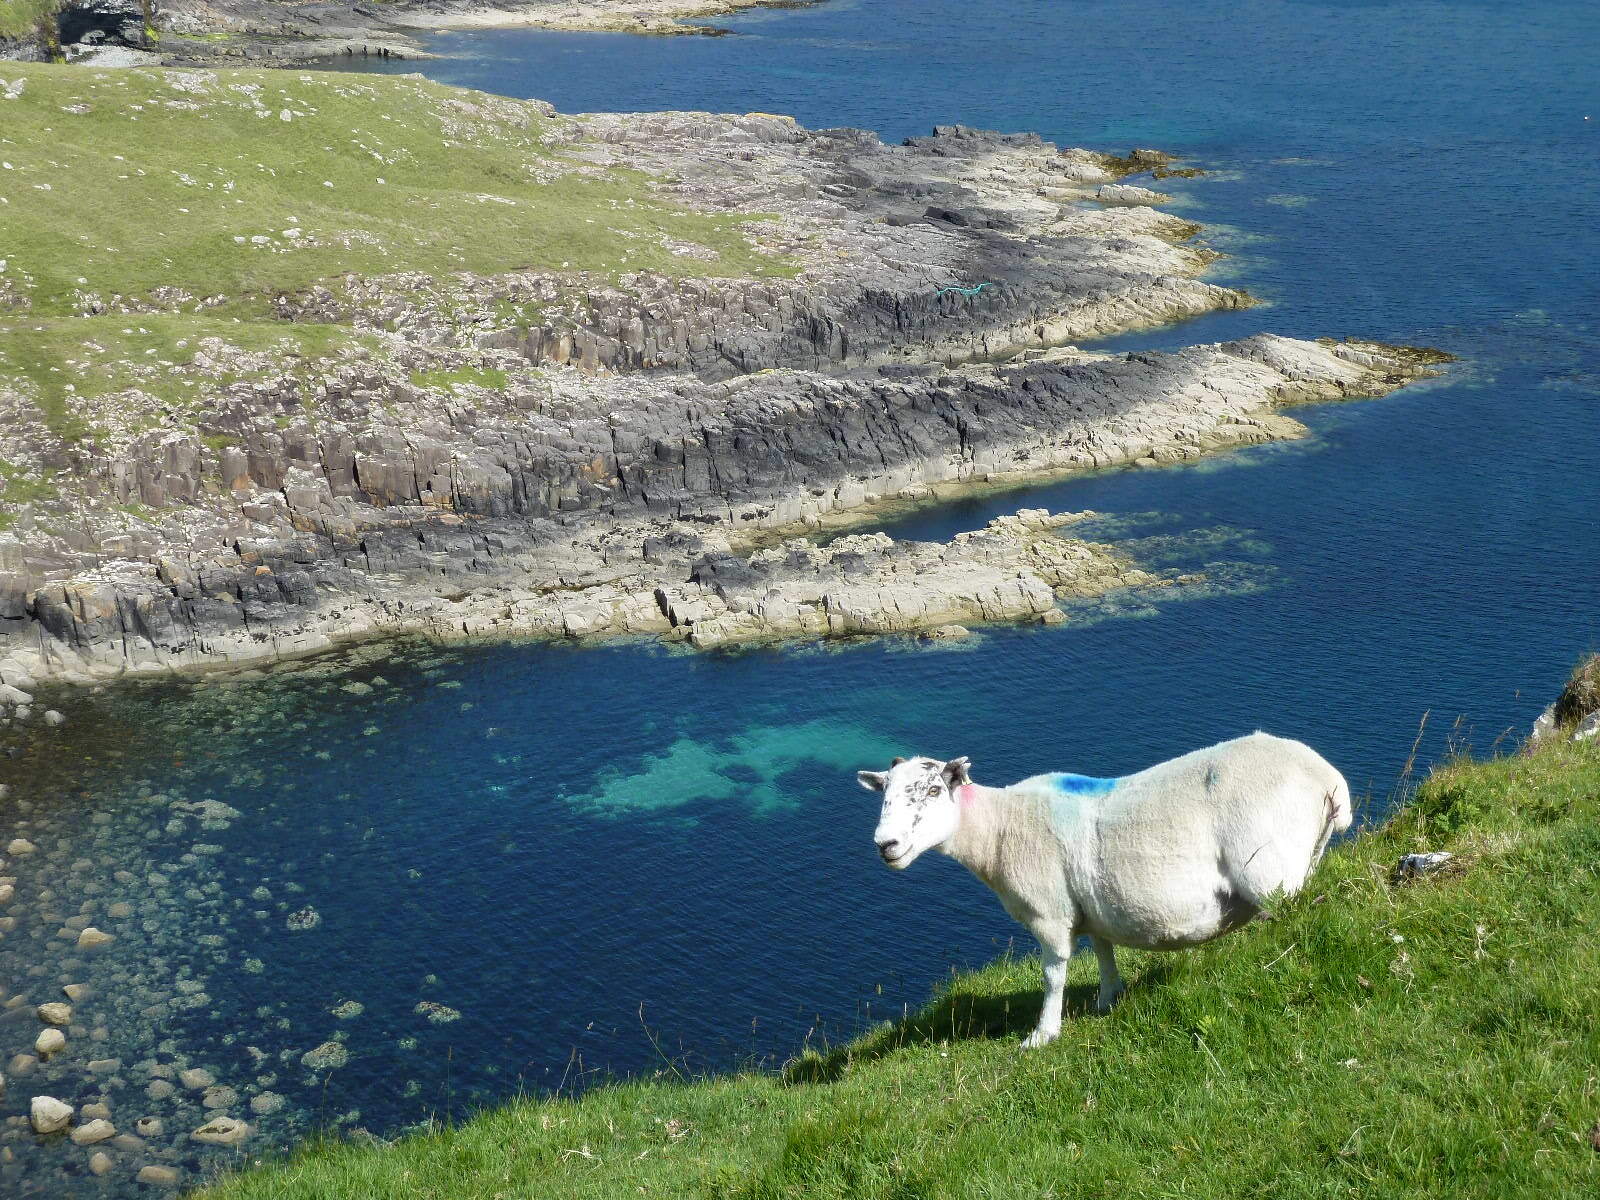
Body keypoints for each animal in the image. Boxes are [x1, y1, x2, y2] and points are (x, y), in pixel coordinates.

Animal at [864, 729, 1350, 1049]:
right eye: (884, 795)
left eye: (932, 791)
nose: (885, 845)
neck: (999, 829)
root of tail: (1326, 777)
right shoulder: (1090, 907)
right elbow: (1103, 950)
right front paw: (1107, 1000)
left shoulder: (1050, 915)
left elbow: (1053, 974)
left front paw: (1042, 1035)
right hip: (1306, 858)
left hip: (1274, 872)